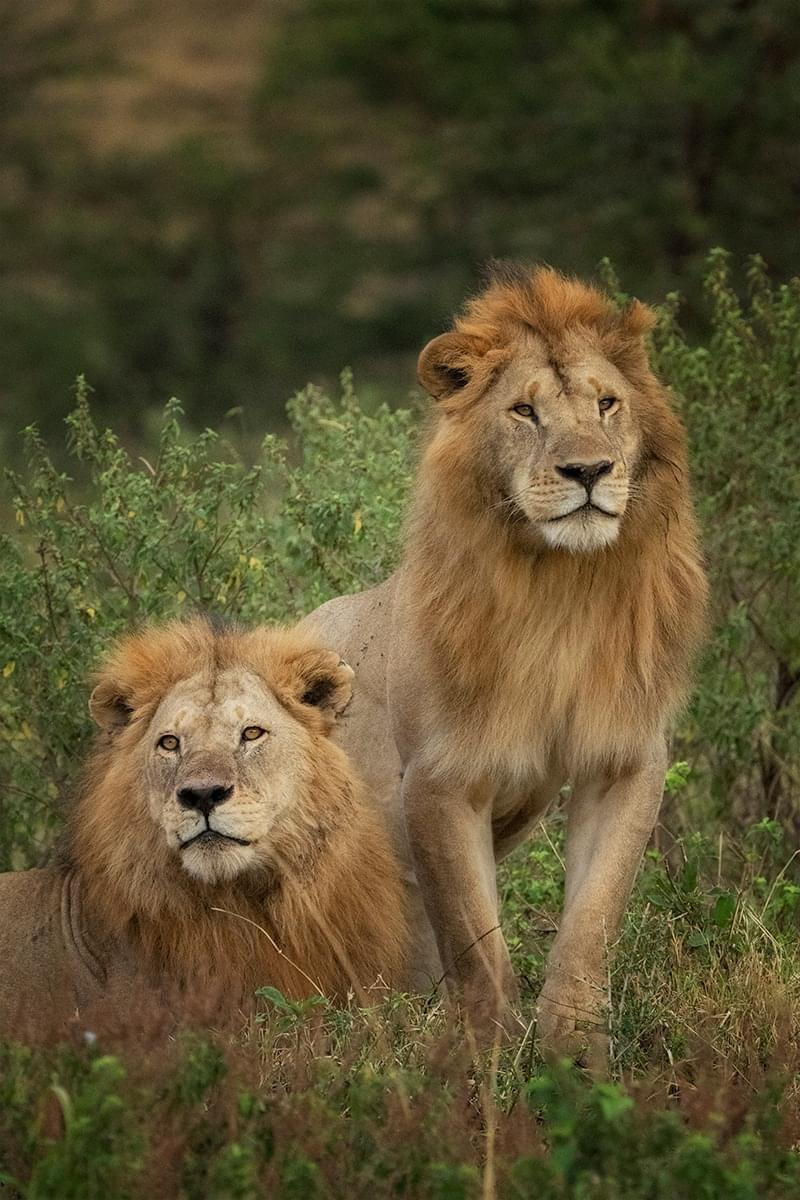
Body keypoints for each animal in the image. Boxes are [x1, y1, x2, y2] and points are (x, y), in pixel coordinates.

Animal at [306, 264, 708, 1067]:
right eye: (524, 411)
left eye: (607, 403)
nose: (589, 469)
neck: (561, 591)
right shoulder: (439, 782)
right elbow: (478, 949)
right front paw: (482, 1067)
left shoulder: (625, 761)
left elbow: (591, 925)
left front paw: (577, 1058)